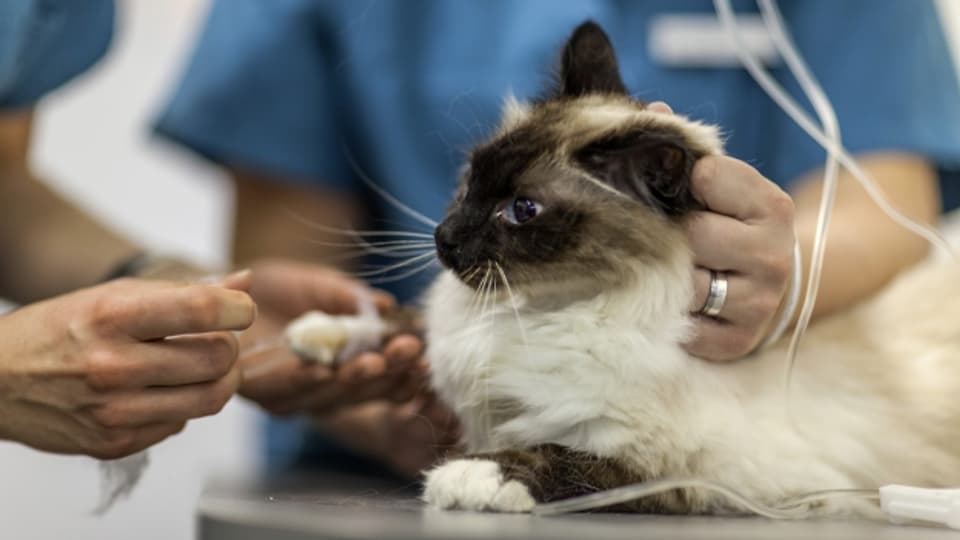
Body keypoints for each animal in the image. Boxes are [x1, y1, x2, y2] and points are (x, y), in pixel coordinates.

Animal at [424, 22, 960, 520]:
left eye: (522, 209)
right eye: (470, 182)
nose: (444, 238)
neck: (542, 310)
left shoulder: (699, 467)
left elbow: (568, 460)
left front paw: (468, 477)